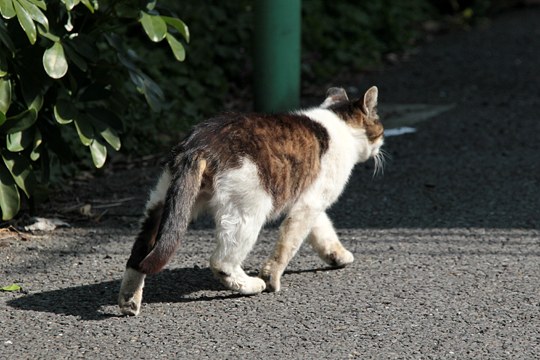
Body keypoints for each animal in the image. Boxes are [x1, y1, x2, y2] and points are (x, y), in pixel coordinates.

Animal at [118, 86, 384, 316]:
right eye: (380, 129)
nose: (381, 146)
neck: (339, 124)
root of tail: (197, 145)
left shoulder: (306, 201)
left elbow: (322, 231)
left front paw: (336, 255)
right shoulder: (310, 204)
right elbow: (288, 244)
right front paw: (271, 278)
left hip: (162, 203)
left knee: (138, 255)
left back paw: (129, 301)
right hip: (250, 210)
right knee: (221, 261)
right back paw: (251, 285)